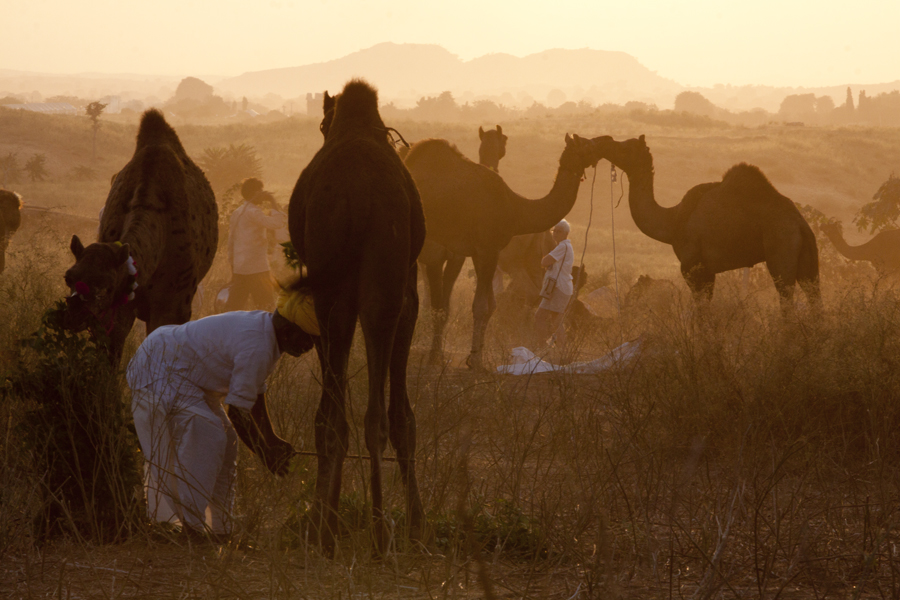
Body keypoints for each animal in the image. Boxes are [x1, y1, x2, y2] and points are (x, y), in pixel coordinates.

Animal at [289, 79, 425, 557]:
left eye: (320, 124)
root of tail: (363, 195)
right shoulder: (408, 292)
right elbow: (400, 415)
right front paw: (418, 526)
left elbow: (330, 415)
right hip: (384, 286)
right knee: (378, 417)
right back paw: (383, 532)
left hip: (336, 294)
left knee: (337, 418)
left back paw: (330, 530)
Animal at [405, 133, 599, 369]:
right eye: (586, 144)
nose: (602, 147)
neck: (515, 209)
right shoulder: (475, 249)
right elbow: (476, 306)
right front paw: (473, 361)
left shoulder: (481, 251)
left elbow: (489, 305)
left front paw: (467, 358)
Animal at [589, 135, 820, 308]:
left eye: (625, 147)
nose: (604, 141)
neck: (672, 221)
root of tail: (801, 224)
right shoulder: (708, 273)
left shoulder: (694, 268)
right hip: (808, 256)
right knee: (814, 295)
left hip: (781, 247)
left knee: (786, 297)